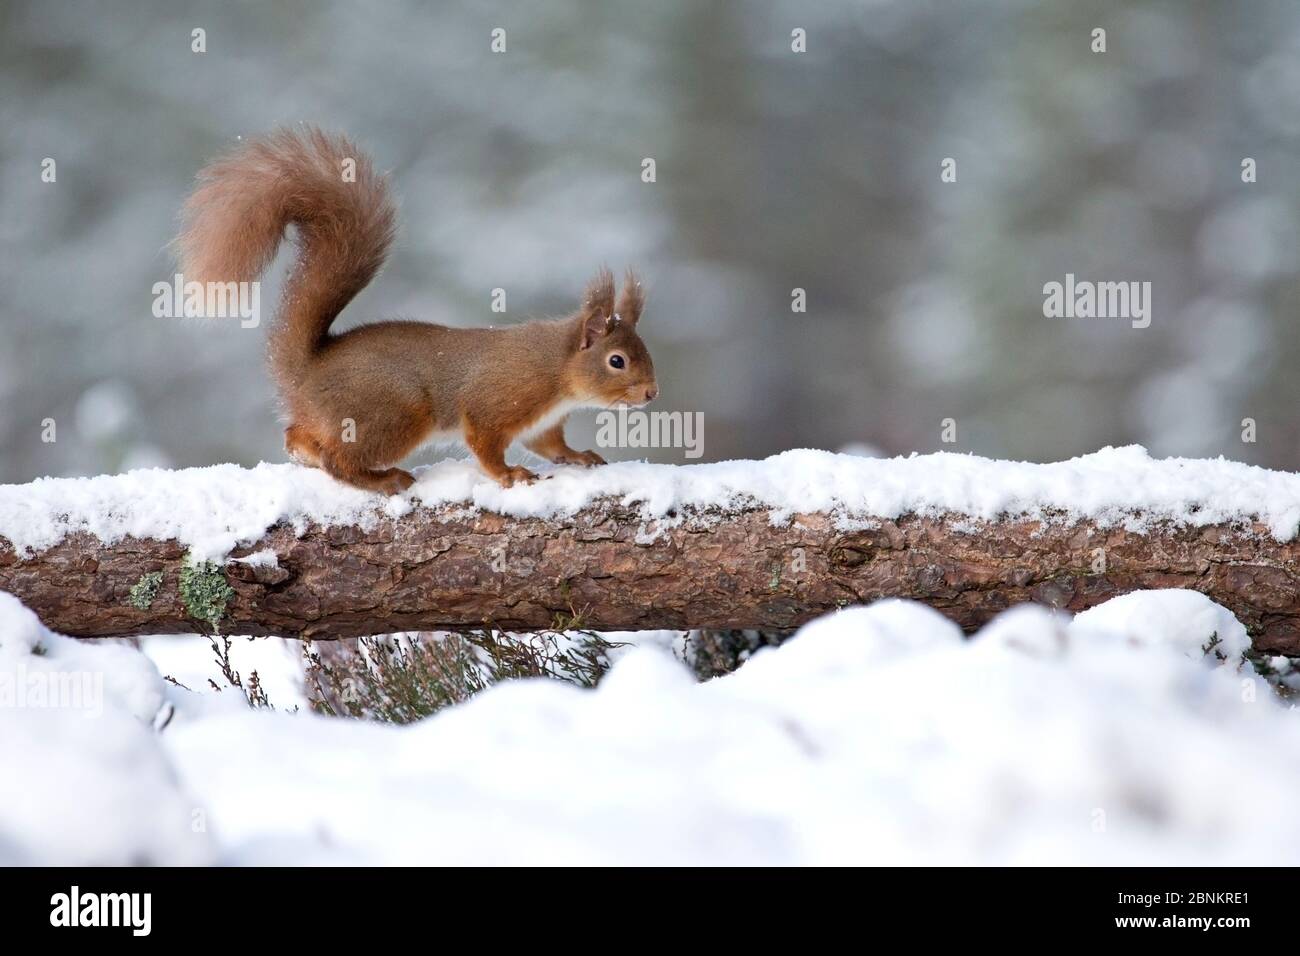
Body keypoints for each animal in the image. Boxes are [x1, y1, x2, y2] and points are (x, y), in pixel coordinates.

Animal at [178, 128, 655, 496]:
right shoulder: (499, 400)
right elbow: (484, 443)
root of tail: (306, 373)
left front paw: (579, 456)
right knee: (338, 461)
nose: (652, 393)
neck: (556, 368)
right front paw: (509, 475)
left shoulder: (542, 424)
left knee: (297, 436)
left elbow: (551, 446)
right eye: (617, 361)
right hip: (394, 415)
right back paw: (381, 479)